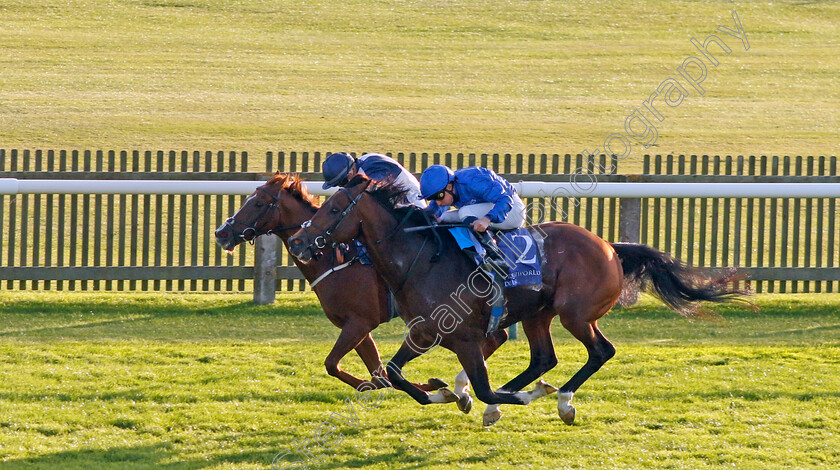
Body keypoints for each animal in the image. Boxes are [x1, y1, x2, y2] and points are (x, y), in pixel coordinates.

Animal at [212, 173, 460, 396]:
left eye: (258, 203)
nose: (221, 233)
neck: (334, 260)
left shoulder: (360, 323)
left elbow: (336, 365)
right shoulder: (354, 325)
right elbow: (378, 374)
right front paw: (432, 387)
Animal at [288, 176, 748, 426]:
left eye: (335, 208)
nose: (298, 242)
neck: (420, 259)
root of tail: (609, 246)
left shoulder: (467, 338)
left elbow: (482, 387)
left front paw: (510, 398)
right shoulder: (425, 332)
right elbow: (398, 374)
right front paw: (444, 393)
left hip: (575, 314)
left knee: (600, 351)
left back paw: (562, 399)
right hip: (536, 315)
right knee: (544, 358)